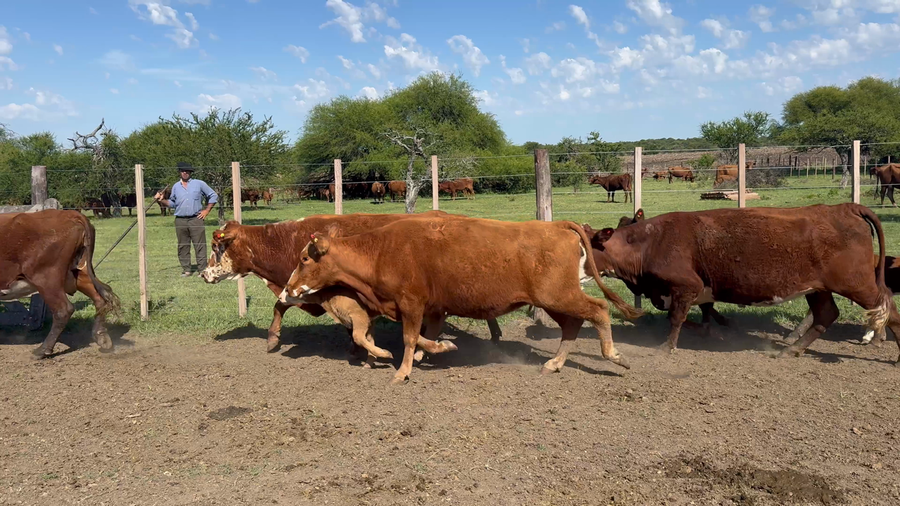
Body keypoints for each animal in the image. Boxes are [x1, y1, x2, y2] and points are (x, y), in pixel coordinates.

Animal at [0, 209, 121, 357]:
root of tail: (69, 213)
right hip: (78, 272)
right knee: (100, 299)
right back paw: (101, 336)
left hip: (46, 278)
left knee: (63, 310)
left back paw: (43, 350)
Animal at [279, 215, 644, 385]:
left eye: (304, 259)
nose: (286, 290)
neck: (381, 251)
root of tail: (556, 226)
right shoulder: (428, 307)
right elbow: (425, 336)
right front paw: (439, 349)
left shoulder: (411, 303)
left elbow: (410, 338)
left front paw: (403, 370)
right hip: (554, 300)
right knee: (573, 324)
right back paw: (554, 363)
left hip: (558, 294)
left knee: (598, 309)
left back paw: (614, 355)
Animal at [583, 203, 900, 363]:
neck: (649, 243)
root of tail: (845, 207)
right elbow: (698, 314)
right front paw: (714, 330)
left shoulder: (685, 287)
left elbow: (676, 318)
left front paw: (667, 347)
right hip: (817, 288)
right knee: (826, 314)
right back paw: (791, 349)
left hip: (858, 284)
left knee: (890, 311)